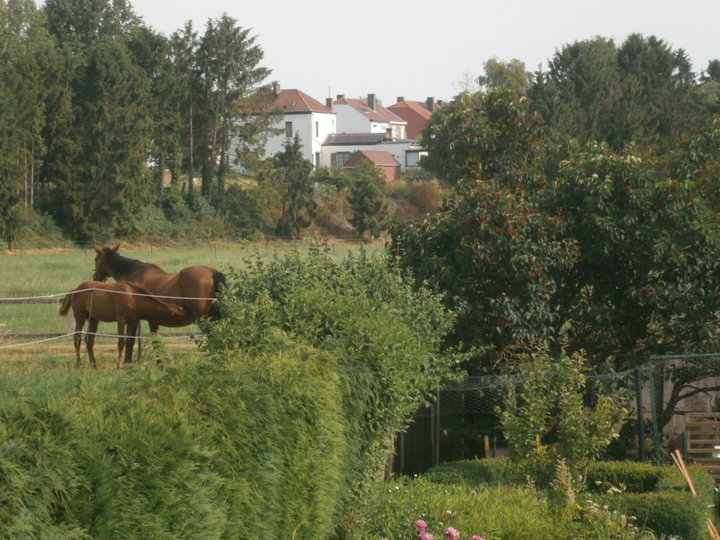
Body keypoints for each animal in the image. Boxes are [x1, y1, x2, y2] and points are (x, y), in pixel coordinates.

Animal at [58, 280, 186, 370]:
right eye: (176, 315)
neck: (133, 297)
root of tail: (75, 289)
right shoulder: (121, 320)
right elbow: (121, 342)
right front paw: (118, 366)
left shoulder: (132, 321)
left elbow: (129, 342)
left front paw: (127, 365)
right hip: (80, 317)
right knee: (77, 338)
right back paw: (78, 364)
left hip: (93, 320)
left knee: (89, 341)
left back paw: (94, 366)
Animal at [92, 245, 225, 334]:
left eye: (95, 259)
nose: (95, 277)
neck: (134, 274)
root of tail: (213, 273)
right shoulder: (153, 321)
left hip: (203, 320)